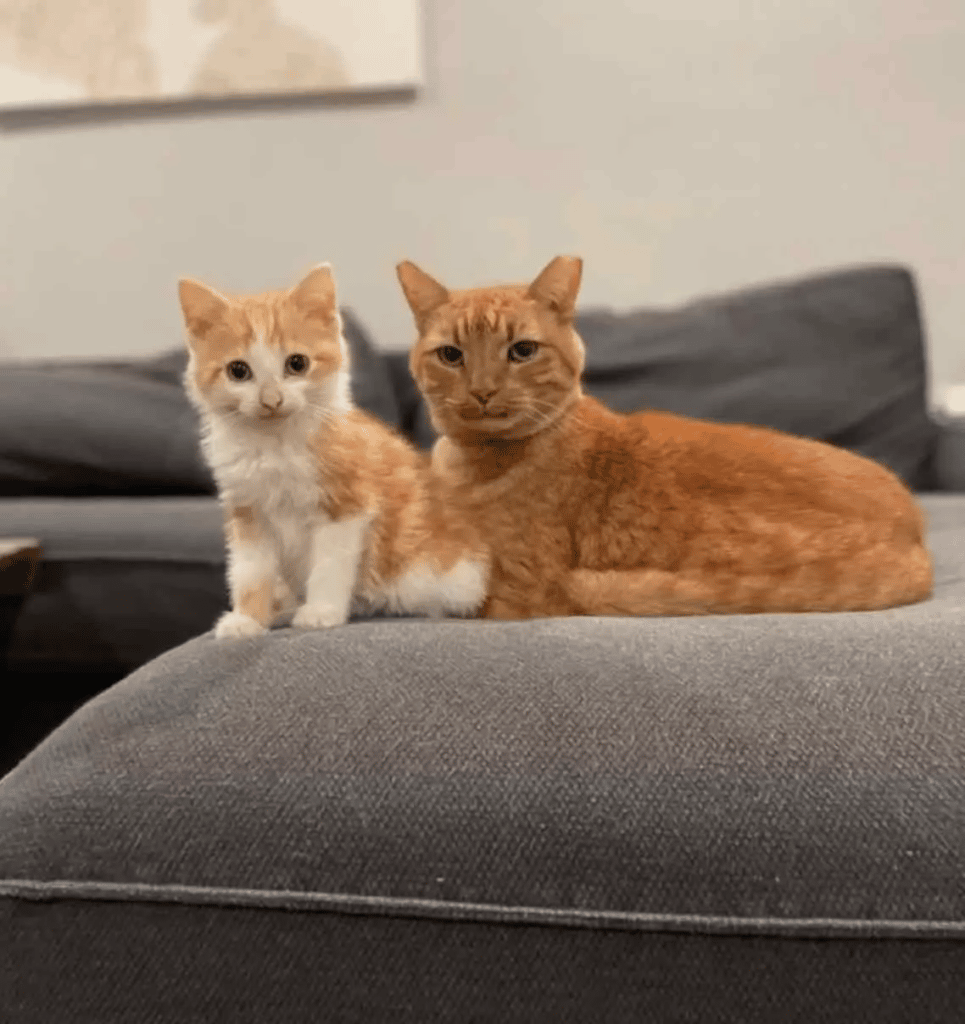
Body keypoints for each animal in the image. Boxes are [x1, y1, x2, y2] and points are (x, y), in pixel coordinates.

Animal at [178, 262, 487, 638]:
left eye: (297, 363)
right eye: (238, 371)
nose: (271, 400)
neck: (277, 445)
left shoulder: (347, 504)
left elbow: (329, 562)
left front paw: (321, 611)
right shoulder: (247, 510)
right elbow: (250, 569)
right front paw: (247, 619)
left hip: (442, 575)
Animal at [397, 256, 934, 618]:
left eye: (522, 351)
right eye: (451, 356)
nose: (483, 391)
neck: (472, 459)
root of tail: (917, 535)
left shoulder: (515, 590)